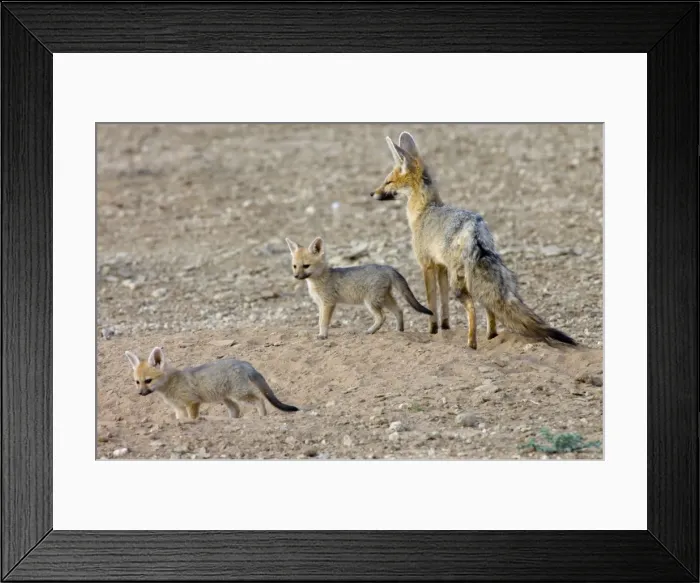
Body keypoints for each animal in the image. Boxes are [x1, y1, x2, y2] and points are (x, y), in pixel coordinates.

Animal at [124, 346, 299, 420]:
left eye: (148, 381)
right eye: (137, 382)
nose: (140, 393)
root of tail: (244, 362)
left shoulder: (192, 402)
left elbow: (193, 418)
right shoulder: (179, 408)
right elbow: (180, 419)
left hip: (239, 394)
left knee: (259, 399)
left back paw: (262, 417)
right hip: (226, 398)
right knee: (236, 410)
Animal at [285, 236, 433, 339]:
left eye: (306, 266)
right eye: (294, 266)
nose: (296, 276)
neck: (319, 280)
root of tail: (386, 267)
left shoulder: (328, 303)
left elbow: (323, 321)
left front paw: (323, 335)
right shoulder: (321, 304)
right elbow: (319, 320)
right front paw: (321, 333)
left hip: (371, 302)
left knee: (382, 317)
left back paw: (370, 331)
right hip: (384, 299)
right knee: (399, 310)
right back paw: (399, 331)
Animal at [370, 131, 576, 350]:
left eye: (388, 182)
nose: (372, 193)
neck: (425, 210)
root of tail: (475, 228)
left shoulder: (426, 265)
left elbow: (431, 302)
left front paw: (433, 330)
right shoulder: (441, 267)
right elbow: (444, 304)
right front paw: (445, 328)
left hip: (460, 284)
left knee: (473, 308)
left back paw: (471, 343)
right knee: (489, 307)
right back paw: (491, 337)